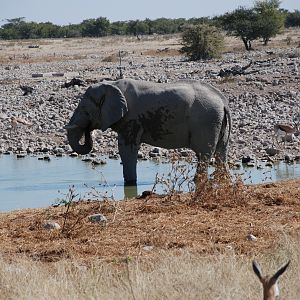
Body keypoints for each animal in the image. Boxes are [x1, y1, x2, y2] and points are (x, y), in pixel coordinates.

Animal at [64, 78, 231, 185]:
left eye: (84, 110)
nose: (87, 129)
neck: (111, 84)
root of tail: (223, 101)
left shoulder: (131, 118)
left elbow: (126, 148)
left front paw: (130, 183)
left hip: (206, 120)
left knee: (204, 153)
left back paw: (198, 181)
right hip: (216, 121)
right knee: (220, 152)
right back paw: (222, 180)